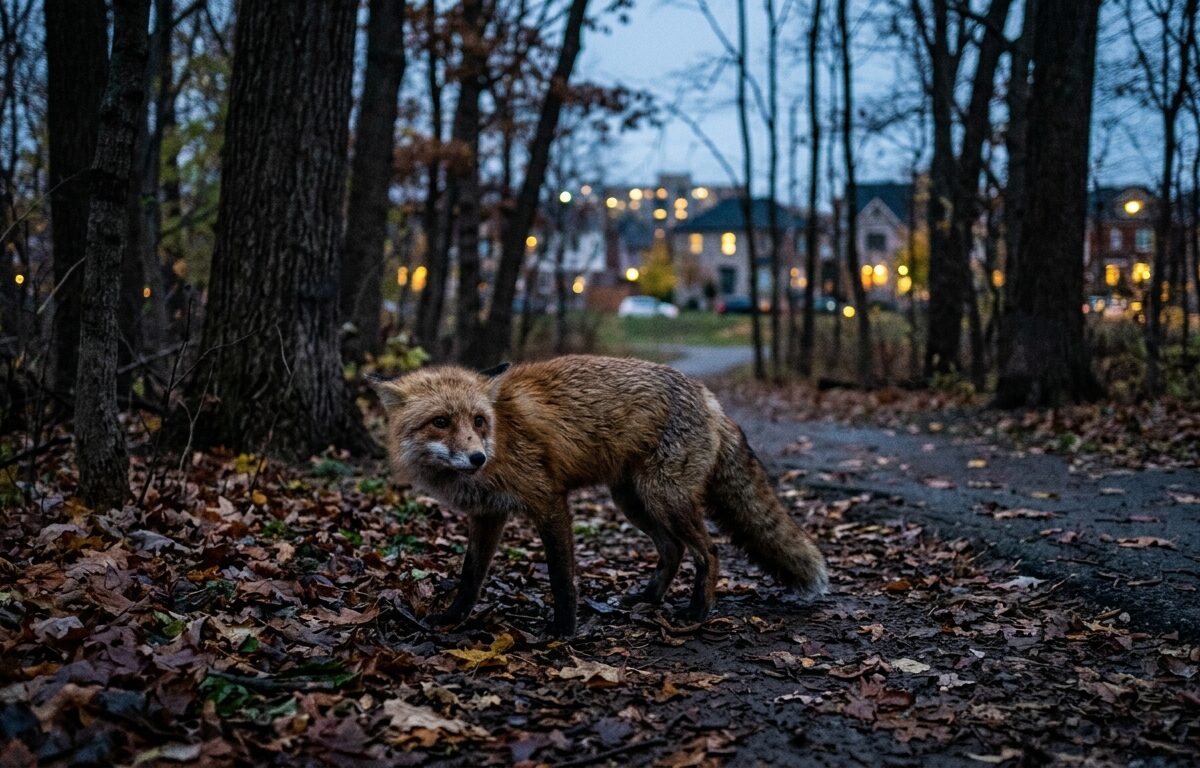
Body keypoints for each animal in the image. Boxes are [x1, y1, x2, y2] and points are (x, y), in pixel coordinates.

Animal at [373, 354, 827, 637]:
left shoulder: (548, 500)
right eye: (441, 421)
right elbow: (470, 577)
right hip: (633, 501)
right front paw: (451, 618)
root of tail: (708, 396)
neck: (502, 435)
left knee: (709, 552)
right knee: (673, 549)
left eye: (479, 420)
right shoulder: (488, 514)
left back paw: (698, 612)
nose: (477, 457)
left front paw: (564, 631)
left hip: (664, 498)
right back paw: (648, 597)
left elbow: (561, 577)